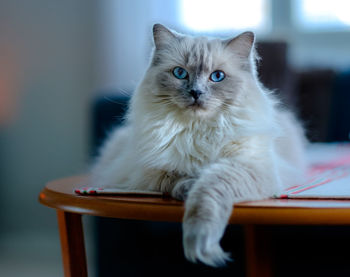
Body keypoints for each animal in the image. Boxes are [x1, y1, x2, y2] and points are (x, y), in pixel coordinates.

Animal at [91, 24, 306, 268]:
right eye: (180, 73)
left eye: (217, 77)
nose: (196, 93)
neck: (199, 130)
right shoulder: (152, 173)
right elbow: (179, 179)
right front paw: (189, 187)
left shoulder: (245, 167)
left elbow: (206, 193)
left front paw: (201, 243)